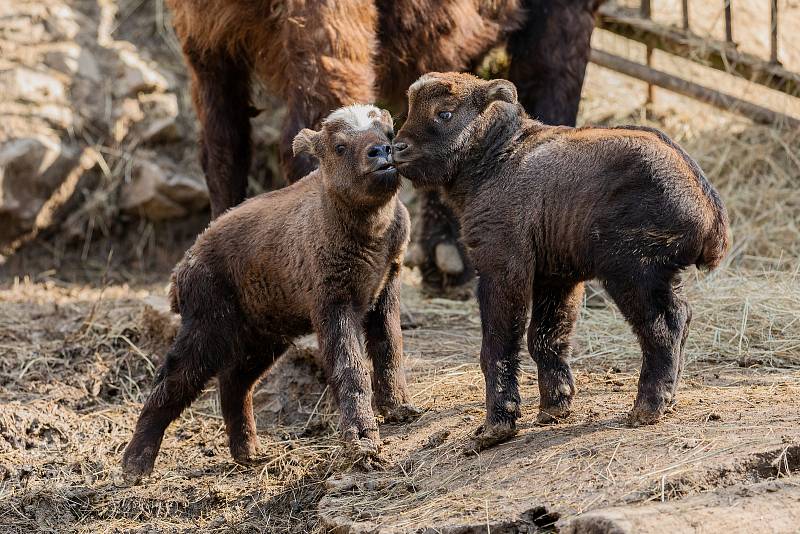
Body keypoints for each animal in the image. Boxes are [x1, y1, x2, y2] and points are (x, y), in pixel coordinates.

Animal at [123, 103, 418, 482]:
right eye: (339, 146)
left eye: (389, 133)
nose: (381, 152)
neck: (369, 231)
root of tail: (183, 267)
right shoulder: (333, 302)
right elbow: (350, 369)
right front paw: (363, 443)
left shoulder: (385, 289)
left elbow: (389, 349)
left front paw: (399, 408)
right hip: (209, 326)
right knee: (172, 380)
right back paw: (135, 464)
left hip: (263, 336)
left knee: (234, 383)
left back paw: (248, 452)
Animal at [394, 71, 732, 452]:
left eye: (445, 113)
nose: (397, 148)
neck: (499, 158)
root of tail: (707, 206)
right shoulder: (556, 278)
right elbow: (545, 337)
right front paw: (555, 407)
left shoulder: (502, 268)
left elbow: (499, 344)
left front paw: (496, 427)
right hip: (656, 277)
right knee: (682, 318)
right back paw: (666, 398)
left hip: (632, 273)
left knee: (663, 327)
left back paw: (647, 407)